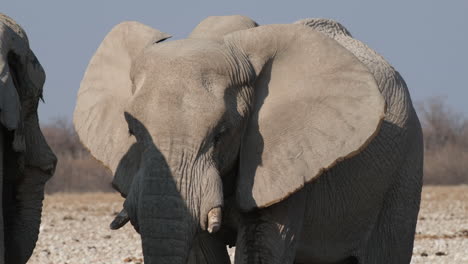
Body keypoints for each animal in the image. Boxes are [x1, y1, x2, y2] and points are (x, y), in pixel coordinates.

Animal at [74, 14, 424, 264]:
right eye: (132, 131)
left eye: (221, 135)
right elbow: (201, 250)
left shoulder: (284, 161)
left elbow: (262, 245)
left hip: (404, 168)